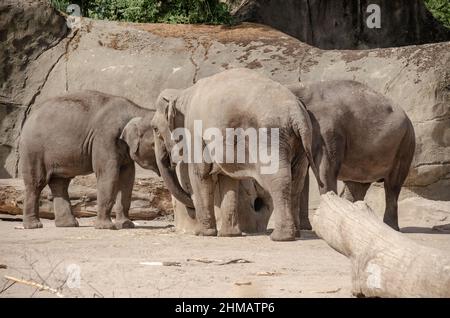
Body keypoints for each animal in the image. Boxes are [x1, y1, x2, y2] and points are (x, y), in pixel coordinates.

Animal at [19, 90, 160, 230]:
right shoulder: (105, 137)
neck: (137, 110)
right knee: (36, 182)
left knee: (60, 183)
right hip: (33, 149)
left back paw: (68, 225)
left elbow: (128, 178)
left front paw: (126, 225)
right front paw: (105, 227)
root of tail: (29, 117)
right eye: (154, 144)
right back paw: (34, 225)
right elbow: (108, 175)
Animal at [151, 67, 324, 241]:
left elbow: (200, 174)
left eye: (155, 129)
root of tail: (296, 113)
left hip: (270, 134)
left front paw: (202, 233)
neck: (182, 93)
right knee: (297, 181)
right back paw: (295, 233)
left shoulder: (195, 131)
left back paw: (281, 236)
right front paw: (229, 235)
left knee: (278, 178)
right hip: (300, 142)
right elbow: (228, 180)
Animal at [286, 80, 416, 230]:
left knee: (392, 185)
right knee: (357, 185)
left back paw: (391, 227)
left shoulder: (328, 130)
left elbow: (325, 169)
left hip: (405, 144)